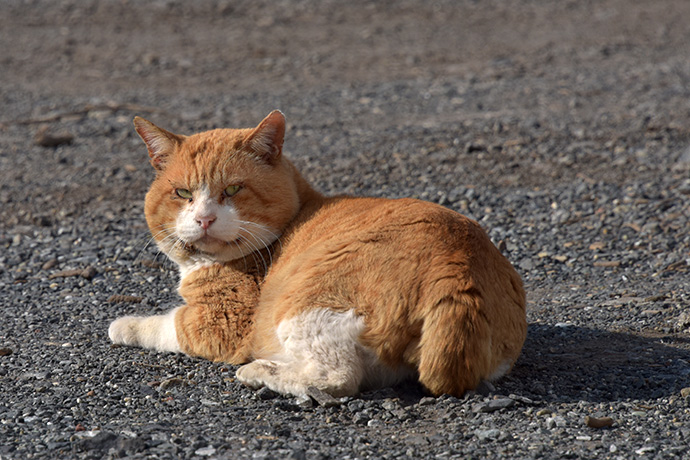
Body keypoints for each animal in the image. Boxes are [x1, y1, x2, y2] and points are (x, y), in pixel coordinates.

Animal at [109, 111, 528, 398]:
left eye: (233, 190)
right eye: (182, 193)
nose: (204, 219)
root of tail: (458, 265)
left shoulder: (222, 321)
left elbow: (164, 324)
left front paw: (123, 325)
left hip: (304, 302)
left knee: (337, 377)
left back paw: (260, 371)